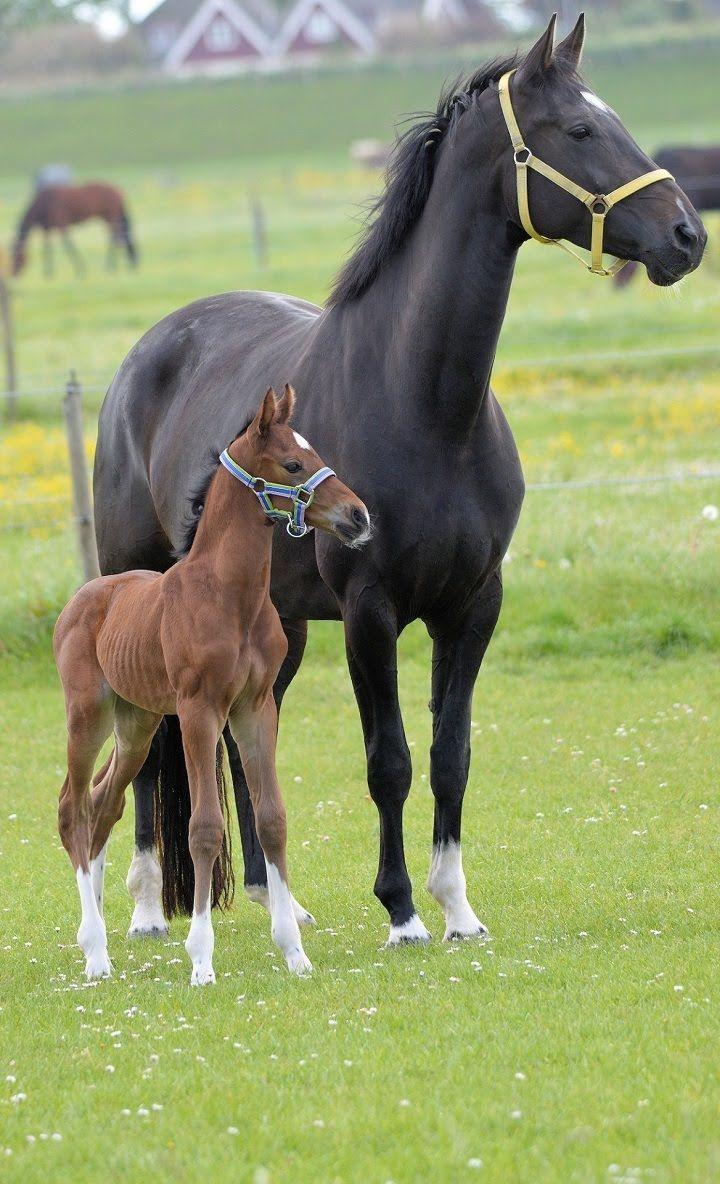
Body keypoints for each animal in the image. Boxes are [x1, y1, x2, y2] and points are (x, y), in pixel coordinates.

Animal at [55, 384, 371, 984]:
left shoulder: (255, 708)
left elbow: (272, 819)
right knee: (72, 808)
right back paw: (94, 951)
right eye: (293, 464)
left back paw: (99, 933)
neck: (229, 595)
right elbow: (203, 828)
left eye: (316, 452)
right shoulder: (199, 710)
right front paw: (201, 959)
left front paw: (294, 951)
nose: (359, 516)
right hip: (89, 717)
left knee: (103, 803)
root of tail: (83, 597)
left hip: (137, 724)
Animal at [93, 14, 706, 950]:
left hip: (275, 626)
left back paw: (278, 900)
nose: (687, 237)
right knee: (152, 741)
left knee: (242, 736)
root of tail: (145, 356)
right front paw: (403, 910)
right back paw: (144, 908)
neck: (427, 407)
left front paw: (458, 907)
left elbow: (452, 754)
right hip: (148, 588)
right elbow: (389, 760)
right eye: (578, 130)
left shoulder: (474, 604)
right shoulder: (369, 610)